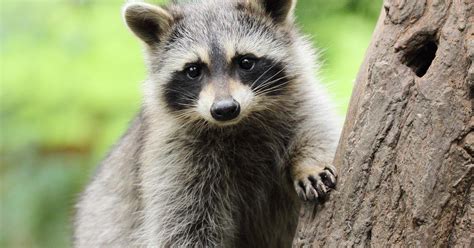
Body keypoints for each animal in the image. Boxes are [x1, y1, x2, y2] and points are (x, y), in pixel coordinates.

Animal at [73, 0, 340, 246]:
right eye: (193, 70)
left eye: (245, 62)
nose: (225, 109)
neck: (237, 124)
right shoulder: (173, 157)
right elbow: (184, 226)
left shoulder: (301, 100)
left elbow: (317, 130)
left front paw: (309, 163)